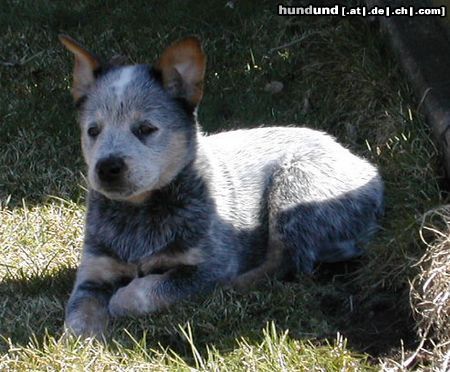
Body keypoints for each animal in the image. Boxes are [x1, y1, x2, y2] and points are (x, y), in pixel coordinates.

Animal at [59, 35, 384, 338]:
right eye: (93, 130)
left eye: (146, 129)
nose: (107, 167)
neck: (139, 214)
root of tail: (369, 169)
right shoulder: (95, 268)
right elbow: (79, 308)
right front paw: (80, 339)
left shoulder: (211, 264)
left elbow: (151, 289)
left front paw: (122, 298)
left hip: (295, 187)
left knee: (285, 260)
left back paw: (238, 283)